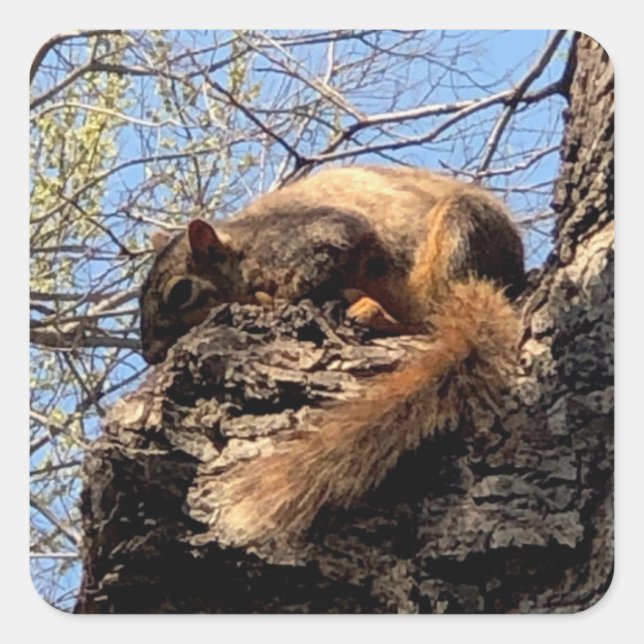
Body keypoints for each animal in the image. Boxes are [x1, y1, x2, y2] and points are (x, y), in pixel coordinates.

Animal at [139, 165, 525, 550]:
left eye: (180, 292)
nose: (150, 354)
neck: (244, 248)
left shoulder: (309, 240)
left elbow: (317, 267)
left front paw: (270, 301)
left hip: (458, 233)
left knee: (429, 314)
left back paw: (376, 314)